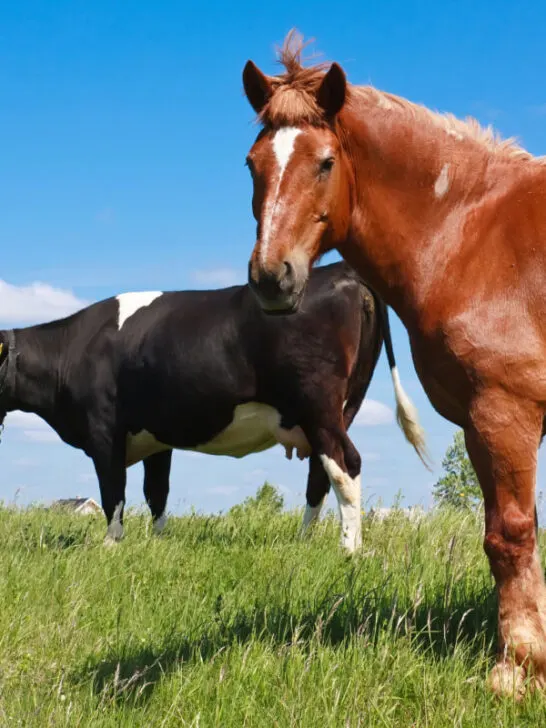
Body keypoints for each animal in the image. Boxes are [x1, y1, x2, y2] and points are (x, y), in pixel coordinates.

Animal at [0, 262, 425, 551]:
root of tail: (343, 271)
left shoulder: (104, 432)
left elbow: (113, 493)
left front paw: (110, 546)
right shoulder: (157, 438)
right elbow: (156, 492)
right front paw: (158, 542)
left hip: (318, 404)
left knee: (346, 464)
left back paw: (349, 548)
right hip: (342, 408)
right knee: (321, 474)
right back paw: (303, 541)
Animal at [242, 30, 546, 697]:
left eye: (325, 163)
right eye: (252, 165)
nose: (272, 277)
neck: (472, 235)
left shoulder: (506, 414)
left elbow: (511, 533)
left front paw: (521, 667)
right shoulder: (478, 425)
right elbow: (500, 534)